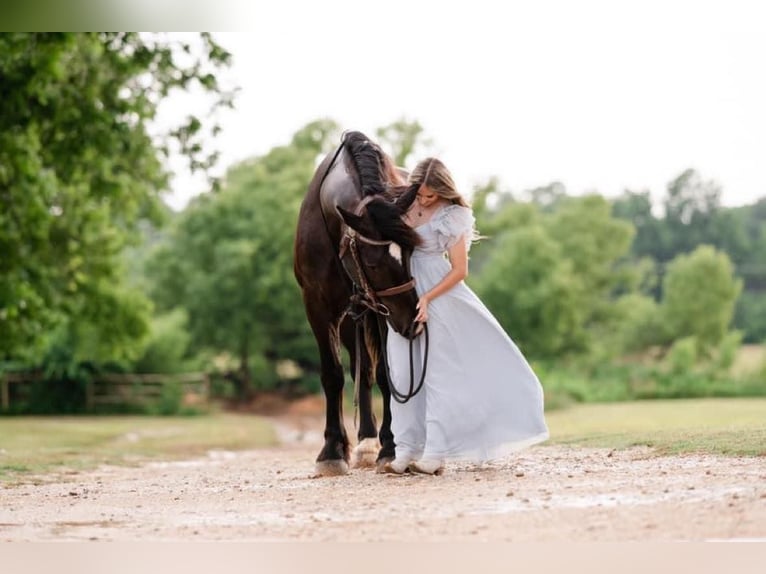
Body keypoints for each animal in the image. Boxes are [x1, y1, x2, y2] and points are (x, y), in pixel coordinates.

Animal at [296, 132, 426, 476]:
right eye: (373, 262)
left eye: (411, 252)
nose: (413, 321)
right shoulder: (317, 307)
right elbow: (333, 374)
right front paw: (331, 452)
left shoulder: (382, 312)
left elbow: (386, 376)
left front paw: (391, 448)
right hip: (353, 319)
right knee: (361, 370)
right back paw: (366, 443)